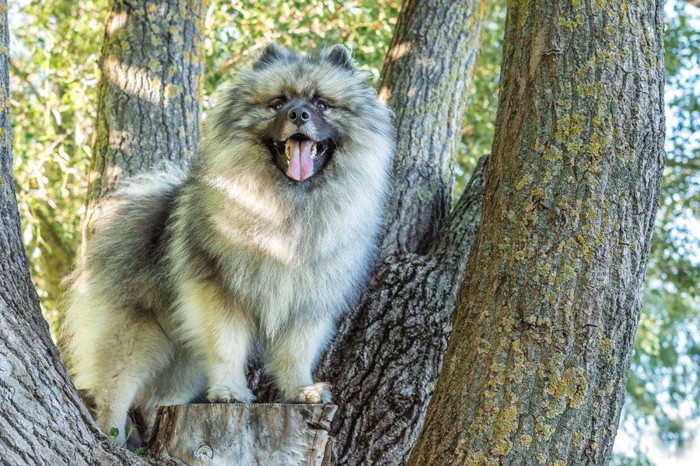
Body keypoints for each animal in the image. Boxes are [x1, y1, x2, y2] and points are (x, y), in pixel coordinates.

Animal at [62, 44, 394, 444]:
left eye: (322, 104)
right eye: (278, 102)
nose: (298, 114)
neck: (288, 207)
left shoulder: (308, 301)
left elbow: (295, 353)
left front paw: (301, 390)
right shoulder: (220, 293)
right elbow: (227, 346)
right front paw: (230, 391)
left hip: (184, 360)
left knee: (157, 398)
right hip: (134, 337)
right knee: (114, 391)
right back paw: (112, 437)